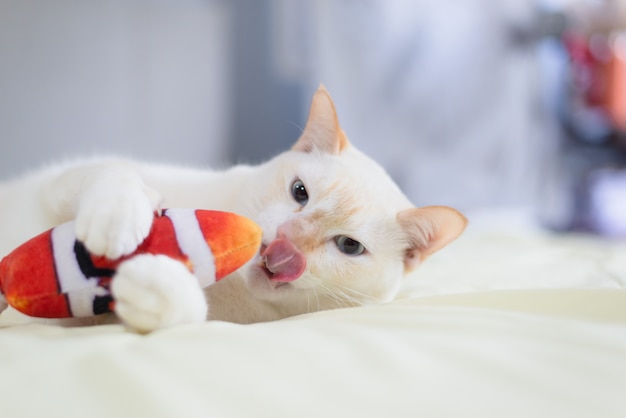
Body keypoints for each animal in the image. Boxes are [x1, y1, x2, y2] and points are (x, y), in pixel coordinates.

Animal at [0, 86, 464, 332]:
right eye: (299, 192)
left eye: (349, 246)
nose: (286, 244)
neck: (231, 287)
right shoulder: (58, 183)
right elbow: (116, 172)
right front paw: (117, 216)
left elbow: (184, 314)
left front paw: (157, 285)